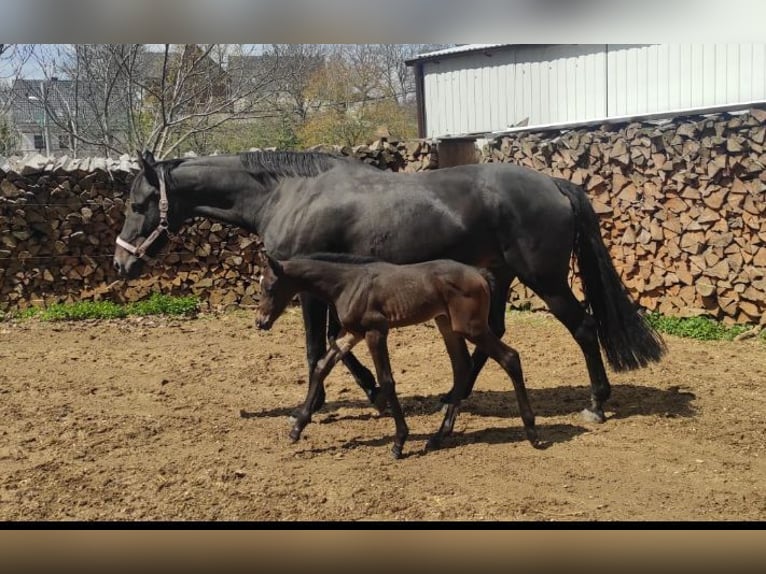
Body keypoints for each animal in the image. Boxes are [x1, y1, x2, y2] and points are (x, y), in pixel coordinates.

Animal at [255, 254, 536, 462]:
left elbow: (387, 381)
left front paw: (399, 442)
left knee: (510, 357)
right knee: (462, 367)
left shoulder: (376, 332)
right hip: (447, 325)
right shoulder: (353, 333)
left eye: (269, 287)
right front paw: (296, 428)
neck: (347, 284)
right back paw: (438, 437)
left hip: (472, 328)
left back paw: (532, 431)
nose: (260, 322)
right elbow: (322, 367)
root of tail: (481, 275)